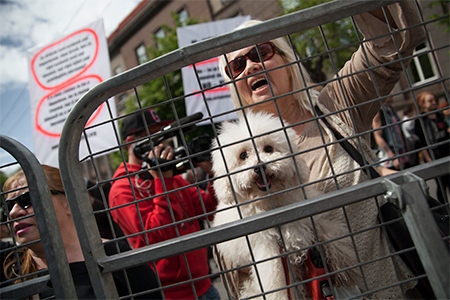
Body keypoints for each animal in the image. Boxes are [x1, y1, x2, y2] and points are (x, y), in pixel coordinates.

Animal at [210, 112, 358, 300]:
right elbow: (278, 282)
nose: (259, 166)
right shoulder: (269, 251)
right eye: (243, 156)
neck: (274, 205)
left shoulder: (312, 218)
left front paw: (345, 268)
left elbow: (333, 237)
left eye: (268, 148)